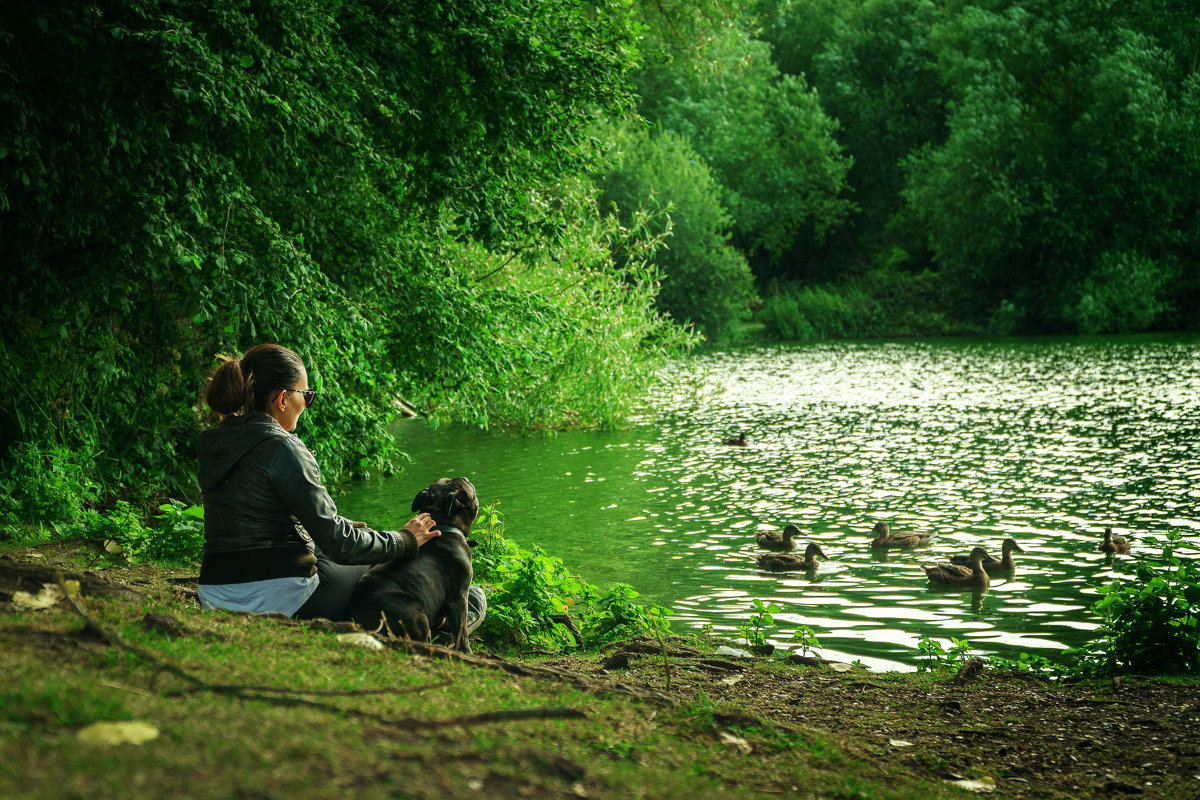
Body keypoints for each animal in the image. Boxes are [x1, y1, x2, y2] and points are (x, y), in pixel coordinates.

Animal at [348, 474, 477, 652]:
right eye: (467, 486)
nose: (466, 477)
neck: (444, 525)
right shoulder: (459, 596)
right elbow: (461, 630)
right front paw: (466, 651)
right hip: (415, 612)